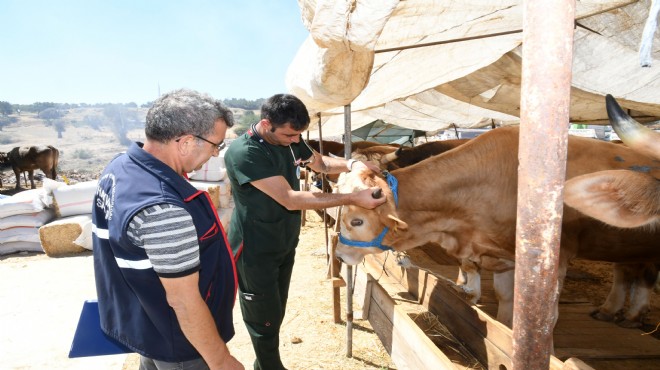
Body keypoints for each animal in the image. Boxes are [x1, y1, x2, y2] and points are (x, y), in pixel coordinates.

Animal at [336, 125, 660, 338]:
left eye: (357, 221)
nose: (338, 254)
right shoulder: (500, 256)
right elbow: (505, 305)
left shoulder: (555, 258)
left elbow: (543, 320)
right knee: (626, 270)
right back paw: (611, 310)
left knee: (640, 274)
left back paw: (632, 316)